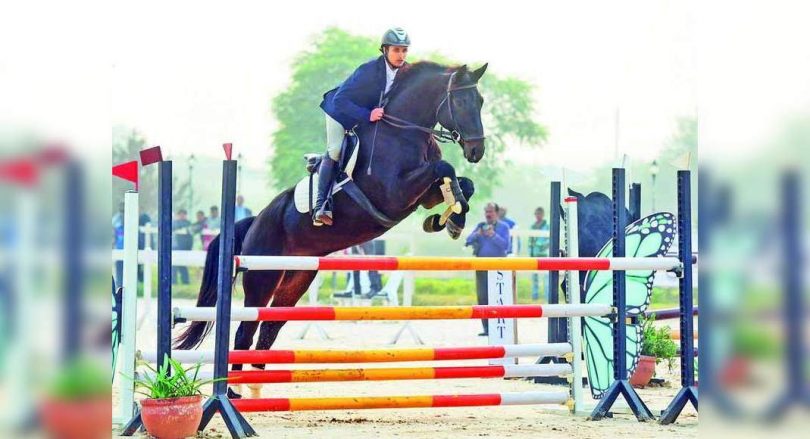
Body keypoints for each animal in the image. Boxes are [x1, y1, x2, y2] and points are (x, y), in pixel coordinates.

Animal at [174, 61, 489, 398]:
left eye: (481, 101)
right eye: (460, 102)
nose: (476, 151)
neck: (404, 134)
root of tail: (255, 221)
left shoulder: (422, 194)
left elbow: (460, 183)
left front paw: (449, 219)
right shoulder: (395, 194)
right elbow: (445, 169)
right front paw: (452, 215)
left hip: (295, 279)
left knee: (270, 328)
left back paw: (258, 386)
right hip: (262, 276)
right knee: (246, 330)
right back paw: (234, 392)